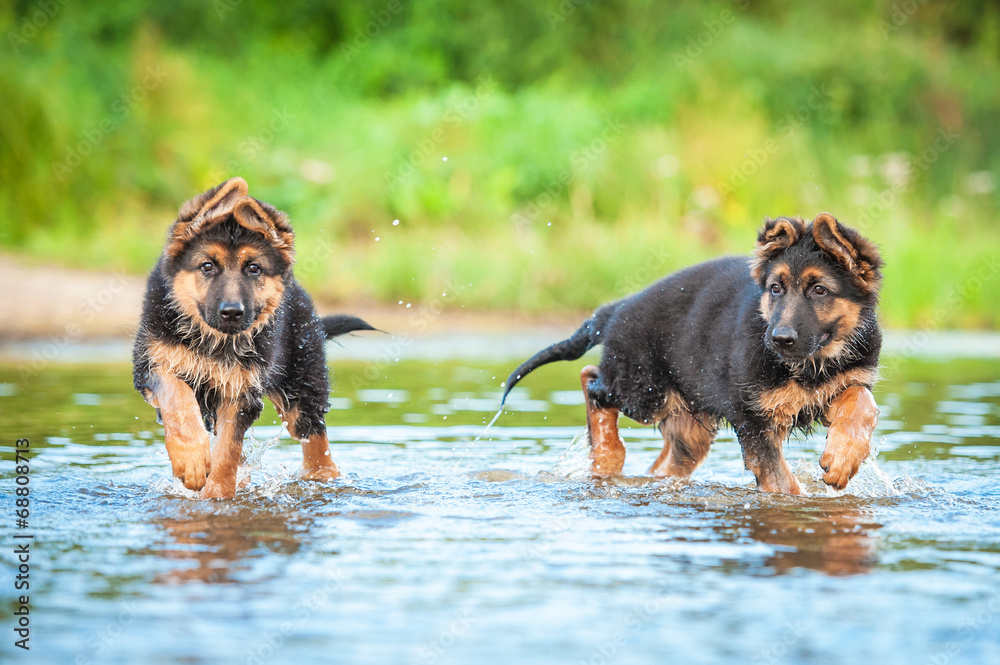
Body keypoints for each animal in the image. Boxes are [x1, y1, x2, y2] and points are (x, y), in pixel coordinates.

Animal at [135, 178, 376, 498]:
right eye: (207, 266)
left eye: (254, 268)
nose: (232, 313)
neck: (215, 342)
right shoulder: (153, 363)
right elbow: (179, 399)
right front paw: (192, 460)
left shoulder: (243, 392)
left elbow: (228, 451)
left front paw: (218, 496)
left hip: (301, 392)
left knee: (317, 445)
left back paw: (321, 478)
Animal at [500, 213, 884, 492]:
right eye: (776, 289)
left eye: (820, 290)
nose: (779, 339)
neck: (811, 364)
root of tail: (616, 309)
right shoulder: (752, 418)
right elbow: (780, 480)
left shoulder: (842, 384)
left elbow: (862, 401)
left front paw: (843, 458)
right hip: (644, 392)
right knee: (592, 380)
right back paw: (608, 456)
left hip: (689, 426)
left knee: (662, 466)